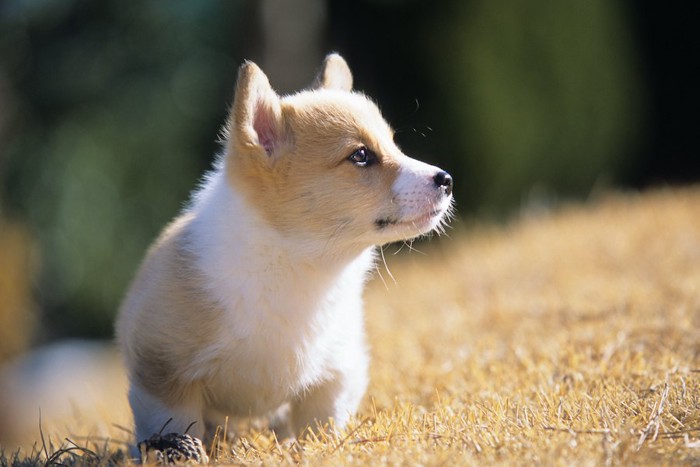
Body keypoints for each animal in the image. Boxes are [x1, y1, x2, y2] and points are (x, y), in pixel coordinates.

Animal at [116, 53, 454, 452]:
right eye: (361, 155)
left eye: (394, 145)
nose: (447, 180)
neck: (296, 260)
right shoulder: (163, 375)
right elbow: (177, 426)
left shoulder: (334, 376)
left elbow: (322, 426)